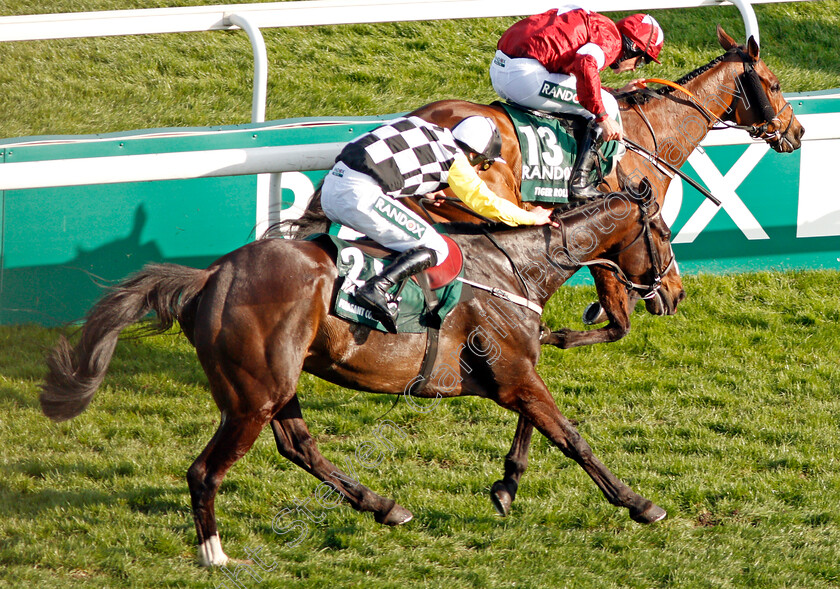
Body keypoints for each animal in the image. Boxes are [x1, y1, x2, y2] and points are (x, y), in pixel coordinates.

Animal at [41, 187, 684, 564]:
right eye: (663, 231)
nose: (672, 293)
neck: (515, 266)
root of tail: (211, 279)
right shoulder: (514, 373)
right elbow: (572, 437)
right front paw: (640, 504)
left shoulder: (512, 372)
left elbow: (537, 427)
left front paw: (505, 487)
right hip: (252, 398)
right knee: (205, 471)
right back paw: (214, 555)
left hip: (279, 387)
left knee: (299, 447)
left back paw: (383, 506)